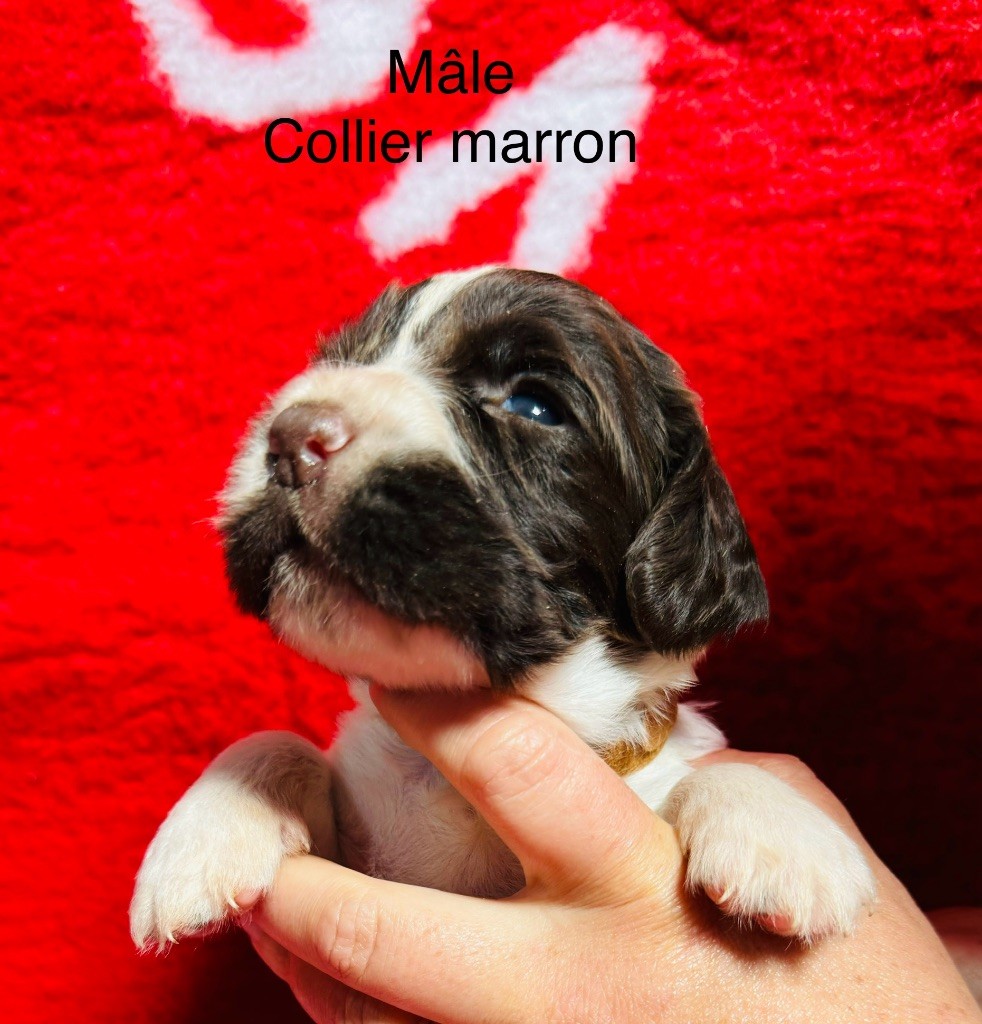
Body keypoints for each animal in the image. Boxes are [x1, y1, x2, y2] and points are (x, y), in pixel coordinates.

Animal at [130, 266, 875, 951]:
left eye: (534, 405)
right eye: (344, 361)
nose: (288, 442)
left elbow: (720, 769)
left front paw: (784, 838)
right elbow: (279, 743)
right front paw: (199, 841)